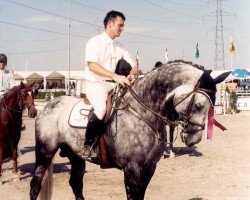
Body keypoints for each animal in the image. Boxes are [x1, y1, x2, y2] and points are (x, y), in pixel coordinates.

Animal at [28, 60, 229, 199]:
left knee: (76, 184)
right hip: (45, 152)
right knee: (35, 185)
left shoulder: (149, 168)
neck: (143, 112)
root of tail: (49, 104)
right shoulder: (132, 169)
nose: (194, 139)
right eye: (199, 105)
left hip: (76, 156)